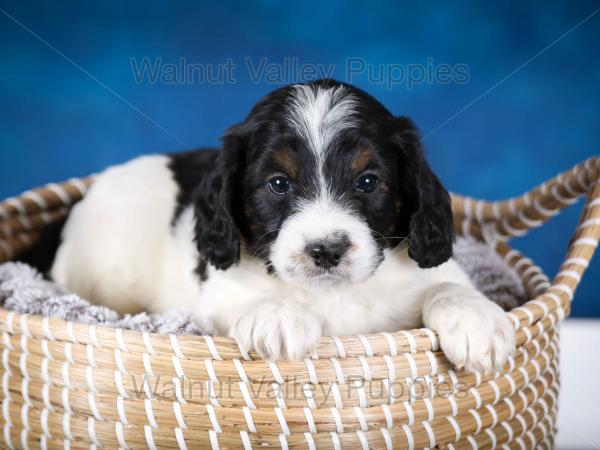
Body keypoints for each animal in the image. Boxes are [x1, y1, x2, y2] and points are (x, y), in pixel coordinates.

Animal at [50, 80, 516, 372]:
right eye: (278, 183)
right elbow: (248, 299)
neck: (333, 293)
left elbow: (448, 284)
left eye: (368, 182)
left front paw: (477, 322)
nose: (326, 250)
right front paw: (276, 317)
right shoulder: (215, 295)